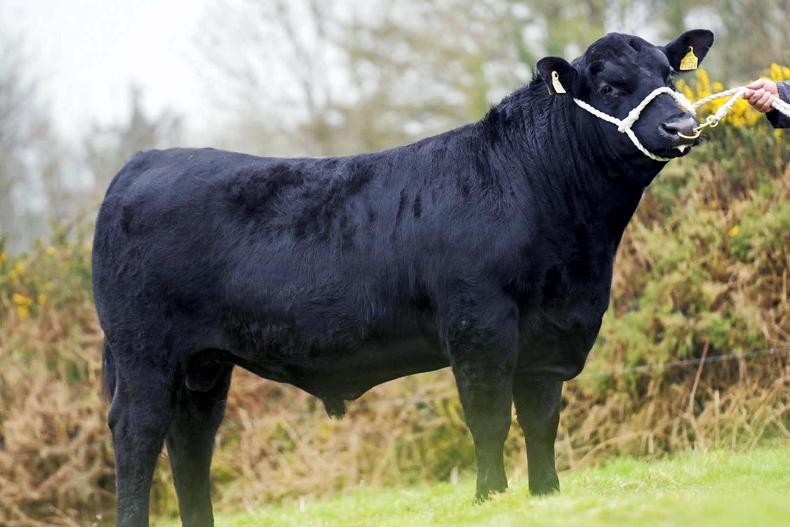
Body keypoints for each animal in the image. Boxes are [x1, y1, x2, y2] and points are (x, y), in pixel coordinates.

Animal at [93, 29, 714, 527]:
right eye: (610, 86)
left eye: (669, 75)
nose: (682, 123)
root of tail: (145, 162)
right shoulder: (479, 324)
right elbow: (488, 418)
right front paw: (490, 499)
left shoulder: (551, 333)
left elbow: (541, 421)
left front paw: (546, 496)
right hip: (144, 351)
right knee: (138, 432)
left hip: (203, 364)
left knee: (192, 441)